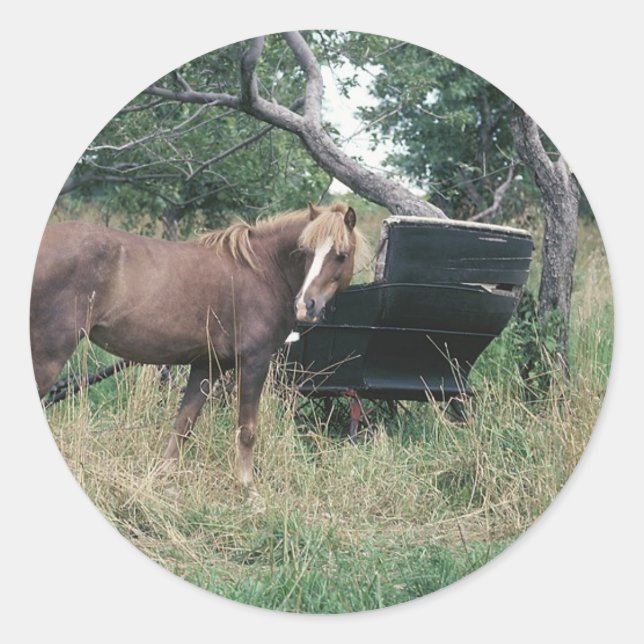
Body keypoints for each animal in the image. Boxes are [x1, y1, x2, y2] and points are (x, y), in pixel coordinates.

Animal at [30, 202, 367, 490]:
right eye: (305, 251)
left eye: (341, 255)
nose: (305, 306)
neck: (262, 271)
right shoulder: (254, 362)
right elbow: (247, 429)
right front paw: (247, 487)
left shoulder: (207, 366)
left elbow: (183, 424)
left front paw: (162, 478)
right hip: (49, 354)